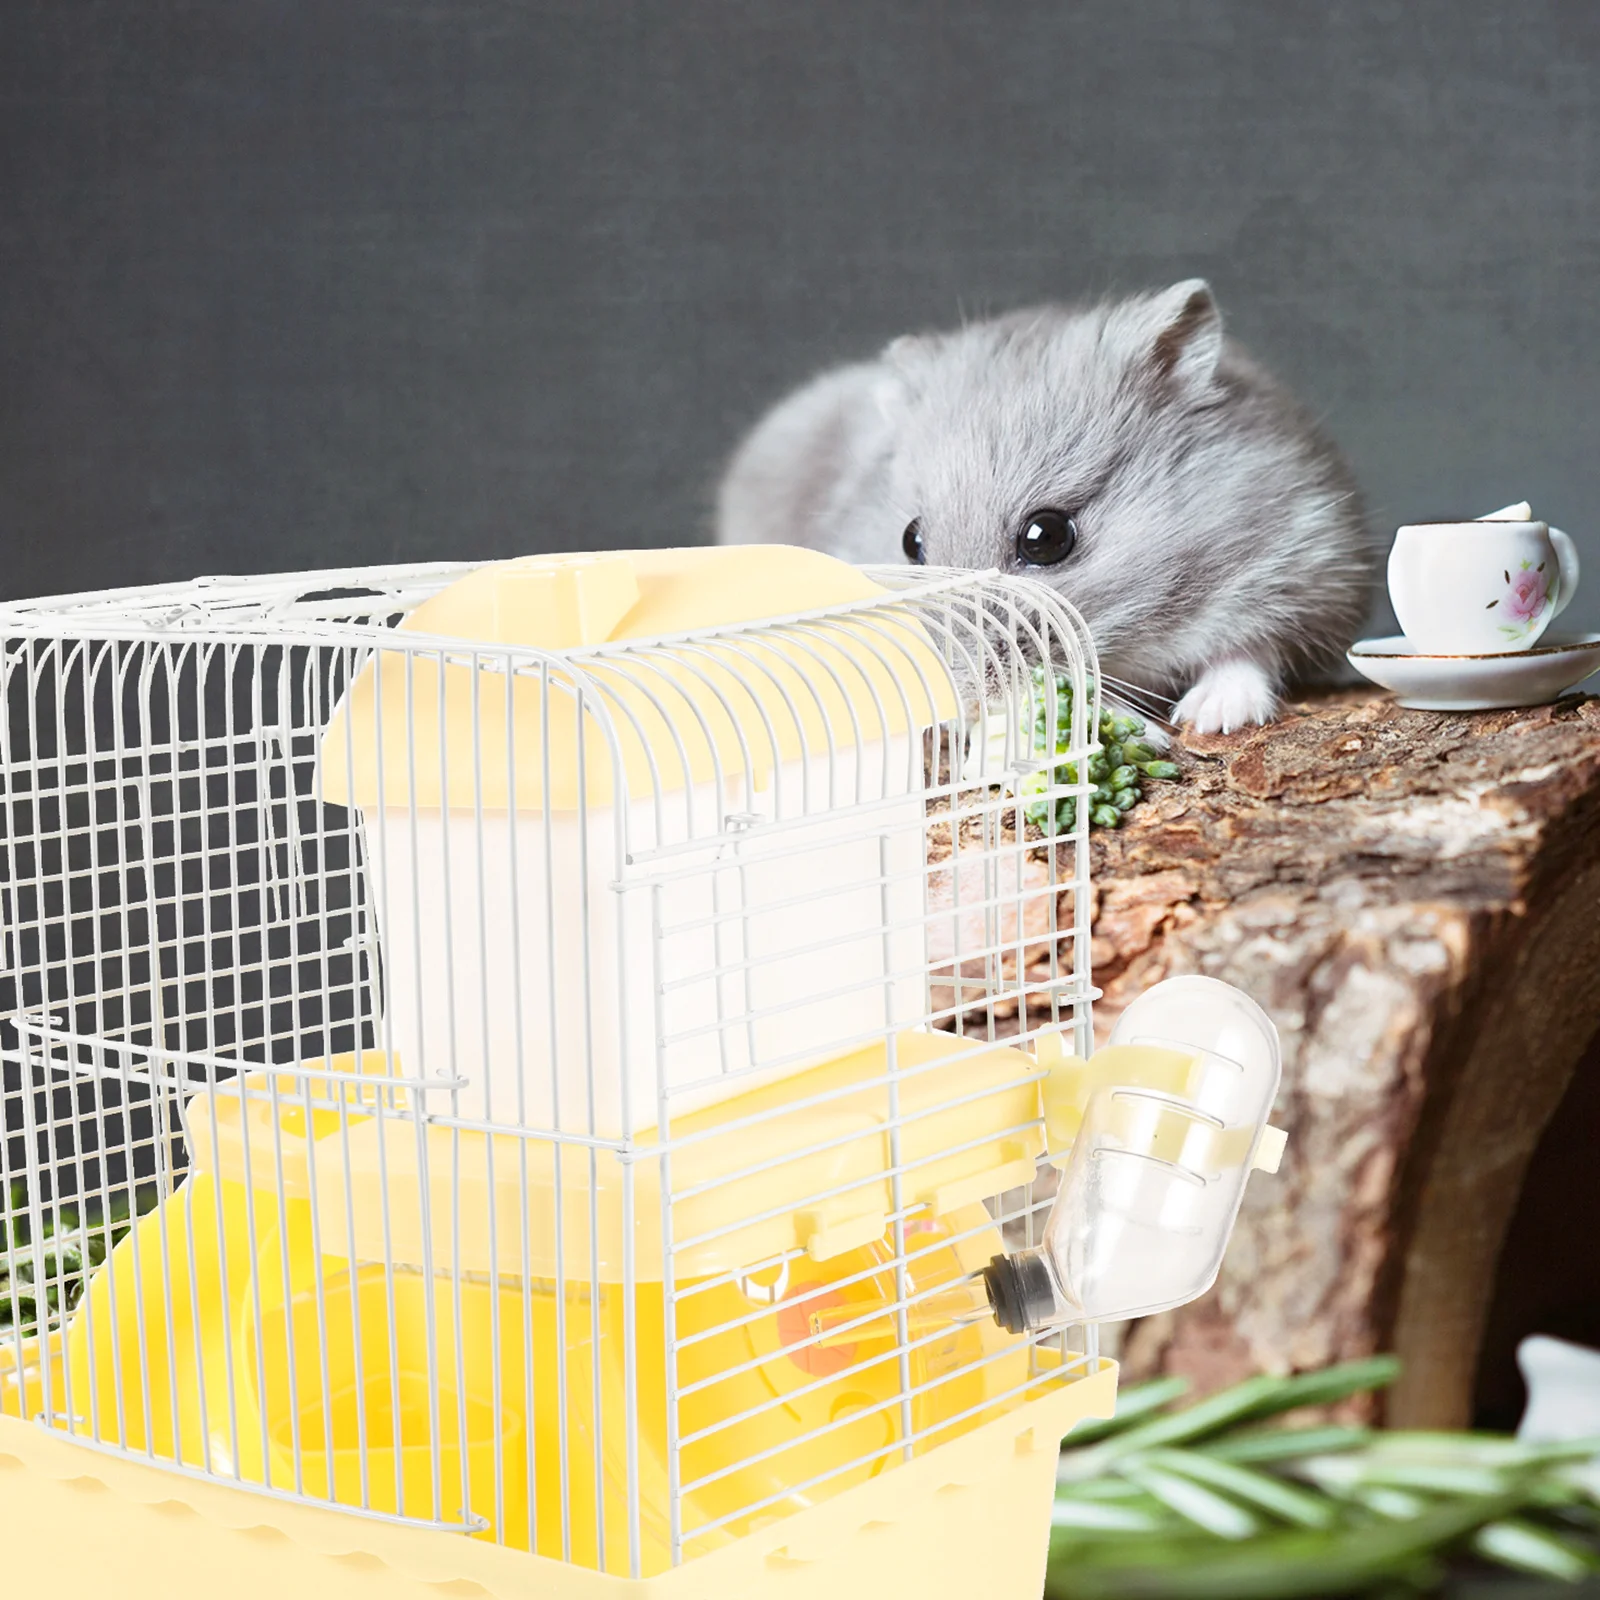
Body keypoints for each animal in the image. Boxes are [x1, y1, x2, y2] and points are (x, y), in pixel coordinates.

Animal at [714, 280, 1377, 733]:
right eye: (910, 541)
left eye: (1047, 537)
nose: (964, 702)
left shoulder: (1307, 558)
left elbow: (1252, 650)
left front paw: (1211, 718)